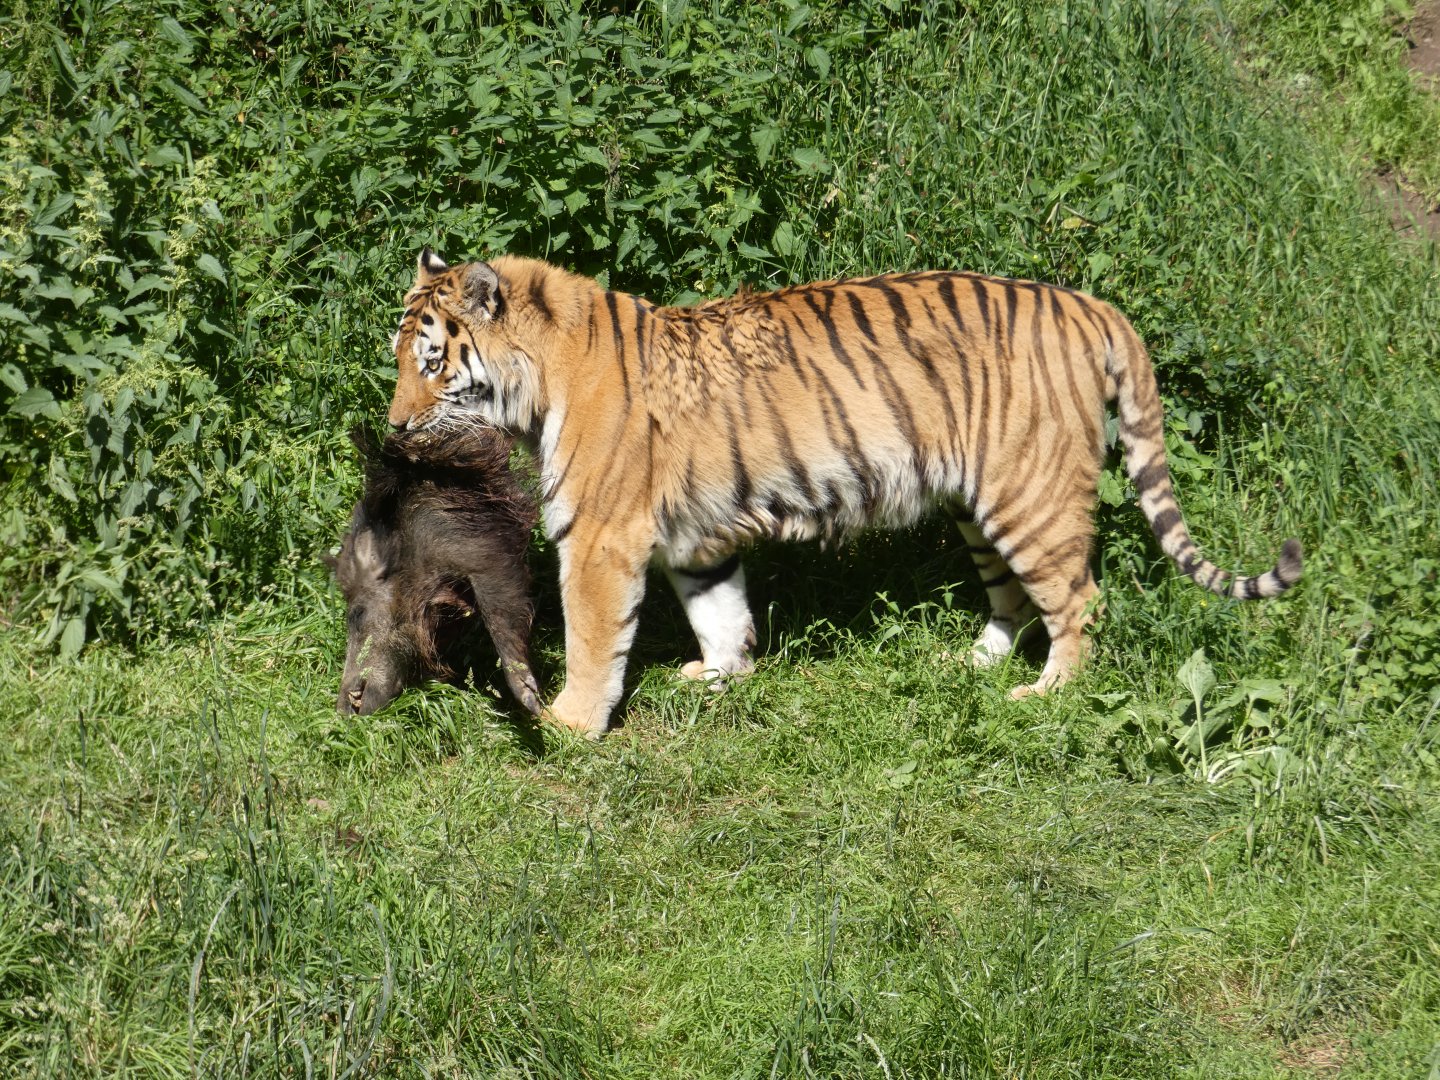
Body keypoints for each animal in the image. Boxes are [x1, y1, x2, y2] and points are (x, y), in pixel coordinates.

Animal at [386, 249, 1303, 737]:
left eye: (431, 363)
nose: (393, 427)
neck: (540, 383)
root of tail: (1088, 305)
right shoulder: (700, 539)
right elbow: (721, 611)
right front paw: (720, 675)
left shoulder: (599, 538)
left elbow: (590, 640)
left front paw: (572, 724)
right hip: (980, 506)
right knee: (1013, 598)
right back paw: (970, 663)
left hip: (1031, 497)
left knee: (1080, 600)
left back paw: (1046, 695)